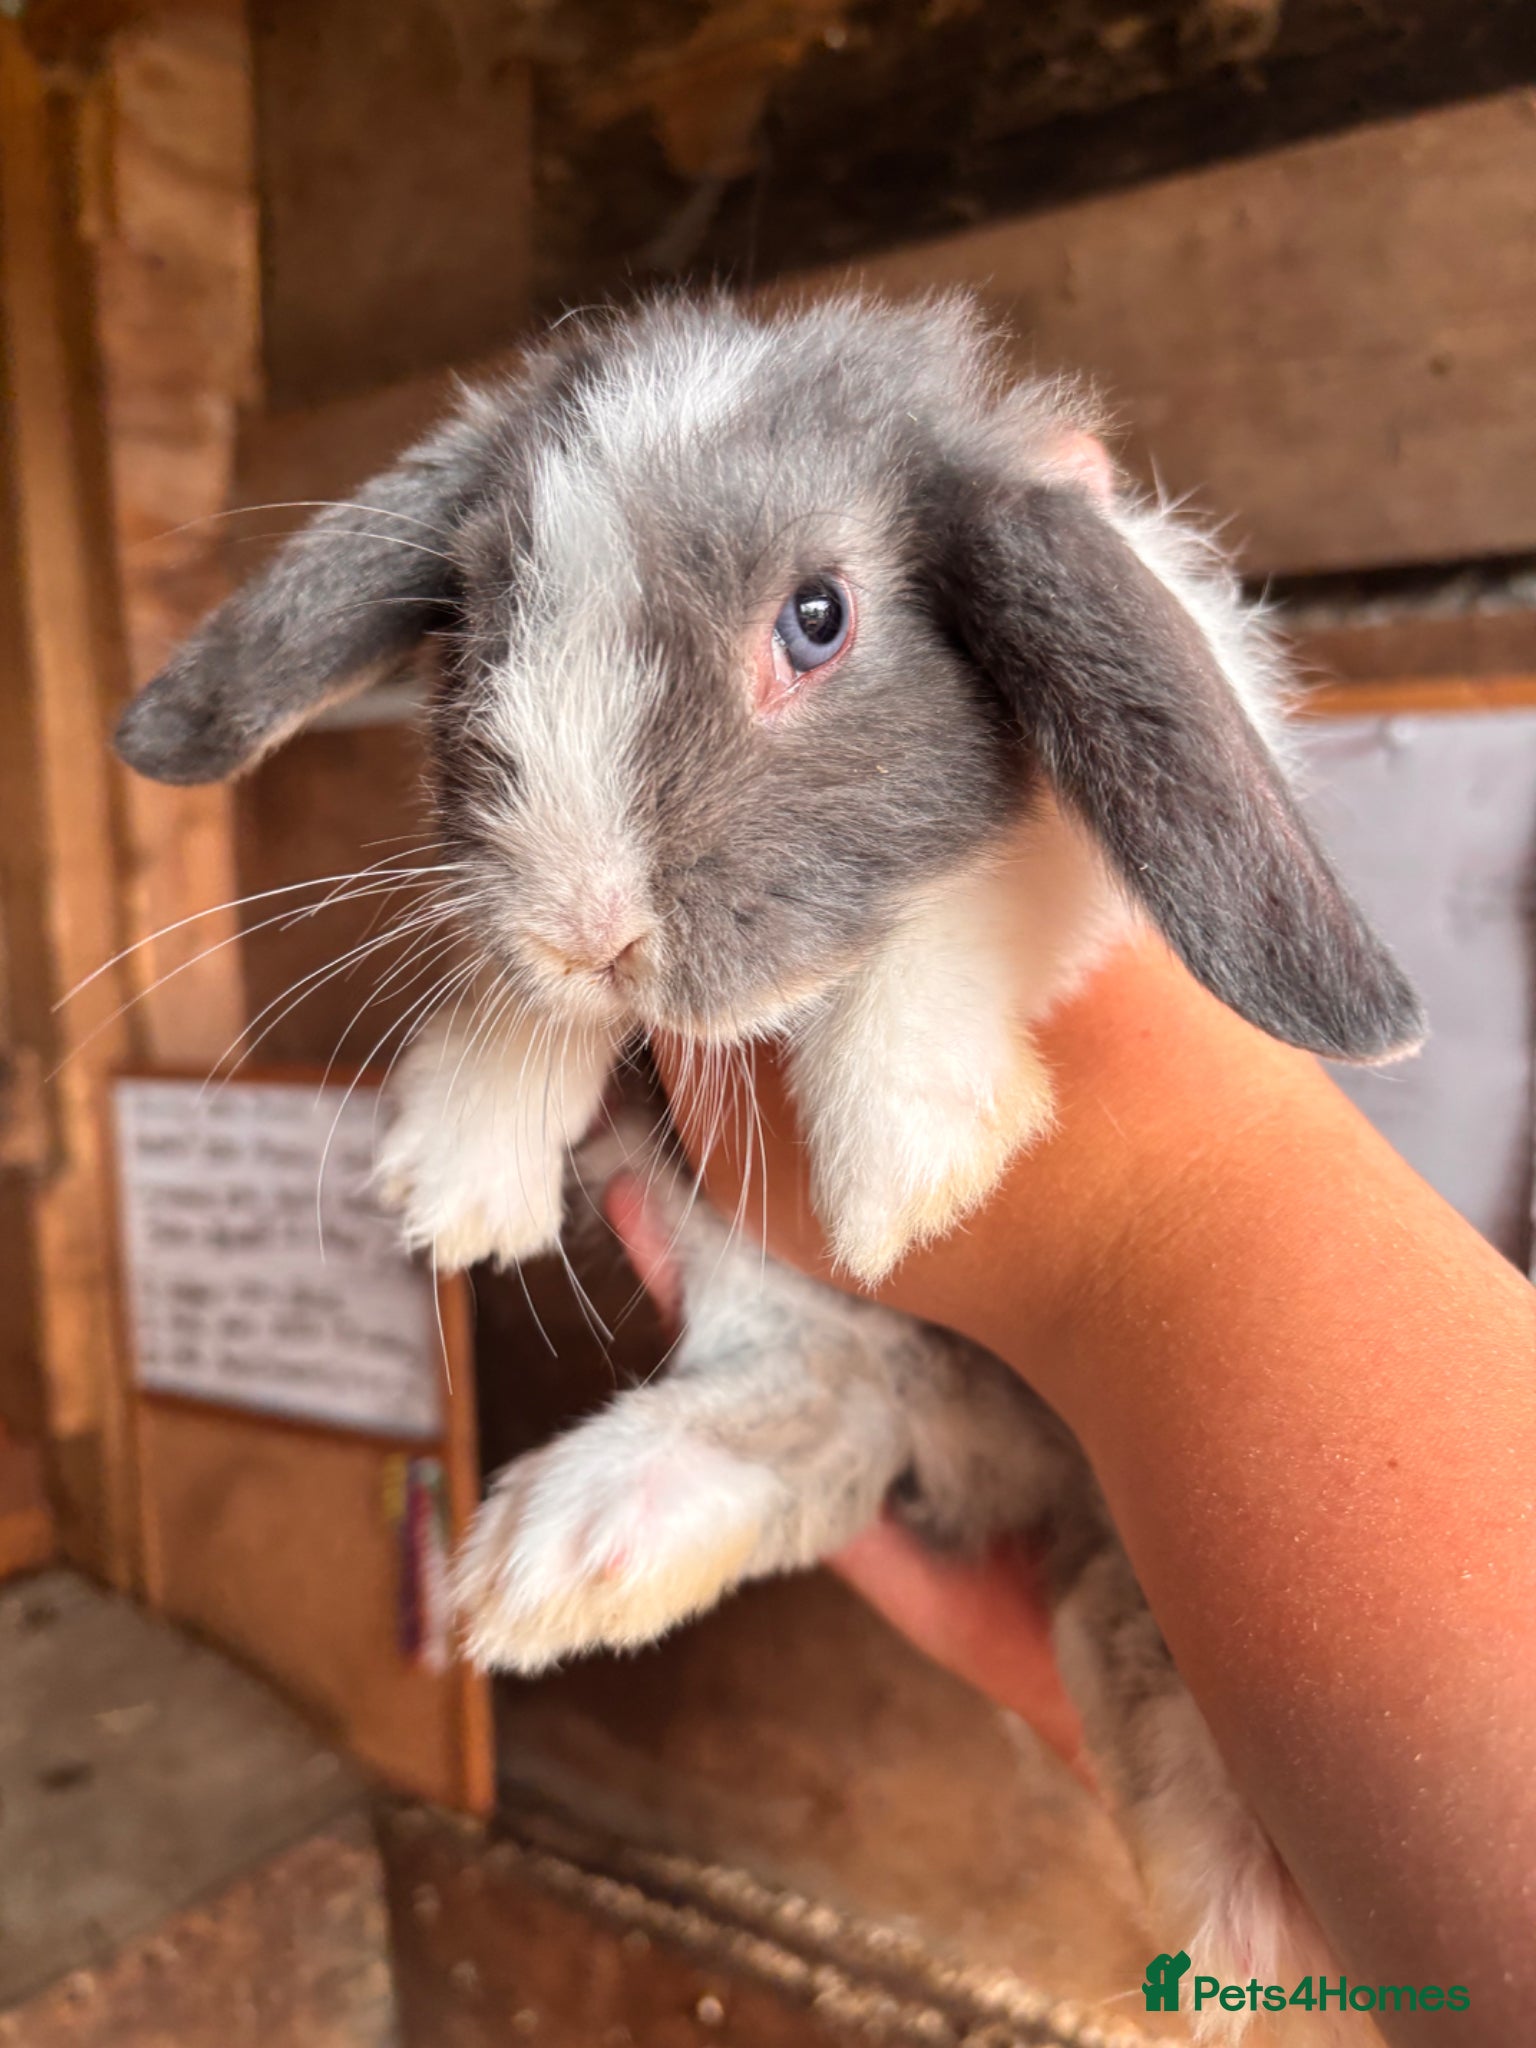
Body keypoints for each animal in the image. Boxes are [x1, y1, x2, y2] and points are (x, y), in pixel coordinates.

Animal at [116, 291, 1419, 2038]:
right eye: (481, 624)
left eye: (817, 619)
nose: (590, 923)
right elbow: (527, 1014)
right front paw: (462, 1149)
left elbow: (988, 878)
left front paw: (907, 1155)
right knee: (823, 1401)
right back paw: (585, 1543)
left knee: (1104, 1584)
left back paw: (1237, 1878)